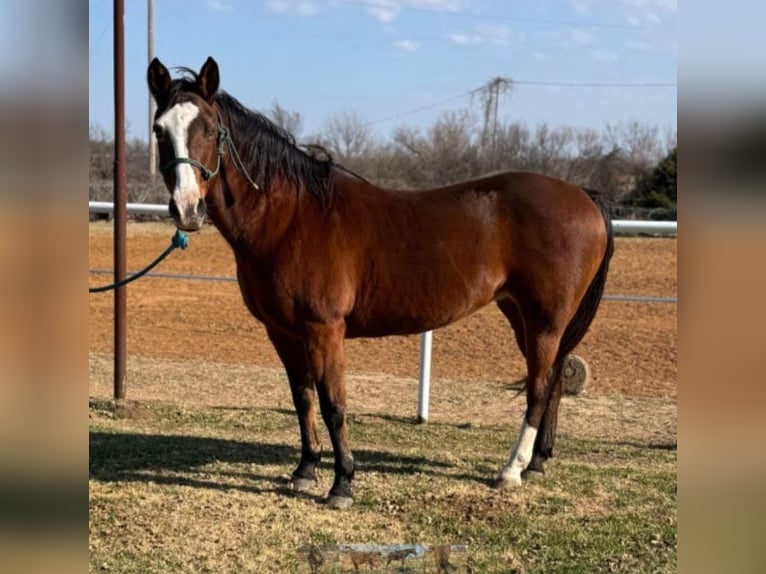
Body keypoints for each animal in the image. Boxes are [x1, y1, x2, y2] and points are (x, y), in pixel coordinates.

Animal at [148, 56, 616, 510]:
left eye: (210, 129)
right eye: (159, 130)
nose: (187, 209)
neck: (290, 218)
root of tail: (582, 193)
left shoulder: (324, 330)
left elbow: (334, 404)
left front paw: (342, 484)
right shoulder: (282, 332)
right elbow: (303, 399)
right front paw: (304, 471)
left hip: (543, 320)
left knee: (538, 388)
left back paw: (511, 471)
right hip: (523, 315)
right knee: (554, 380)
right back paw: (537, 463)